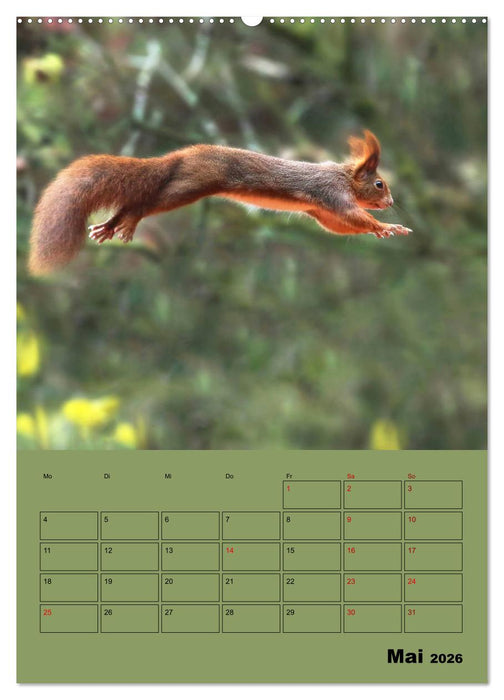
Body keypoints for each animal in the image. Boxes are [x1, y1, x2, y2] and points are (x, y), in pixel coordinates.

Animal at [28, 129, 411, 275]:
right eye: (379, 184)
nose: (391, 201)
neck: (345, 176)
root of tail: (183, 154)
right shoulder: (331, 193)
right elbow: (351, 215)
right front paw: (386, 225)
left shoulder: (321, 210)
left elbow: (337, 225)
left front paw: (382, 228)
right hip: (189, 185)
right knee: (145, 204)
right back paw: (127, 221)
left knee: (137, 200)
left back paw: (108, 226)